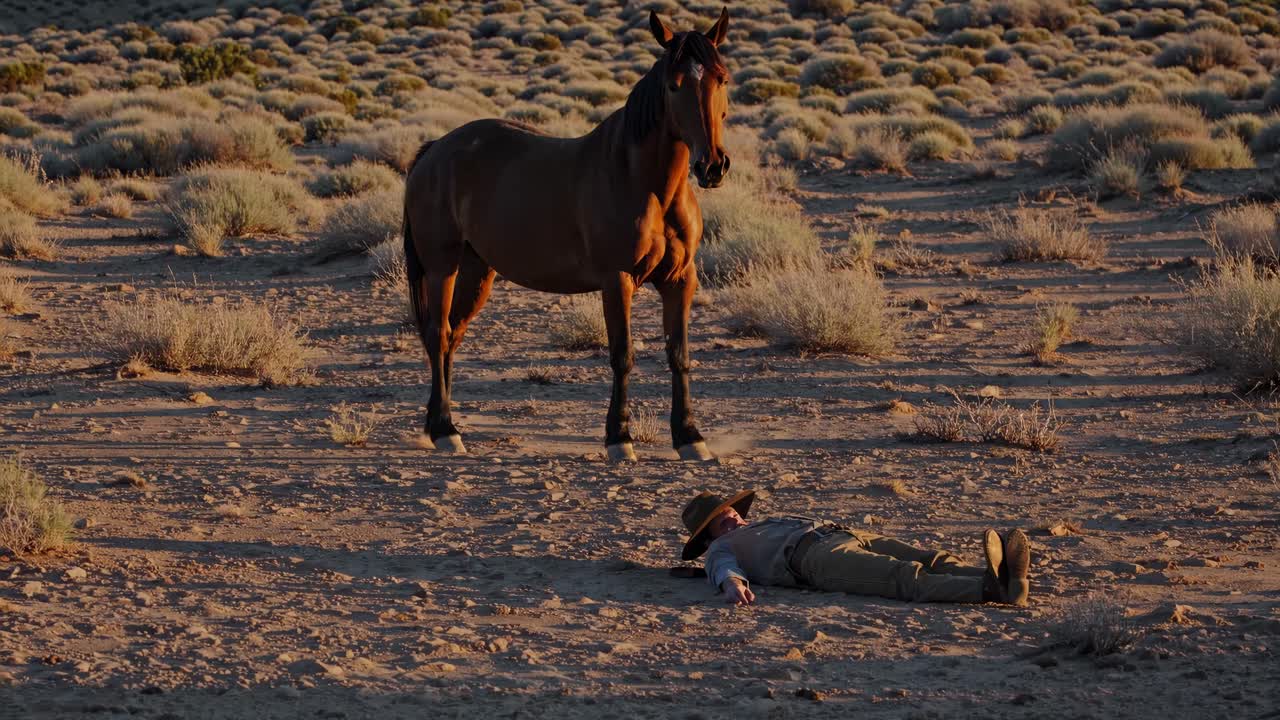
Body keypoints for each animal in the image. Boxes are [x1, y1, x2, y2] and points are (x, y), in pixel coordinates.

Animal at [402, 9, 732, 462]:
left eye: (721, 78)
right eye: (674, 84)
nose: (712, 166)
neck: (645, 183)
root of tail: (434, 150)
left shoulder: (681, 280)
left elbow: (679, 354)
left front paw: (690, 438)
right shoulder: (617, 280)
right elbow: (622, 356)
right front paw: (619, 439)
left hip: (475, 271)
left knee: (452, 336)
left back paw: (441, 424)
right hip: (442, 268)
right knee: (437, 335)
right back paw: (445, 430)